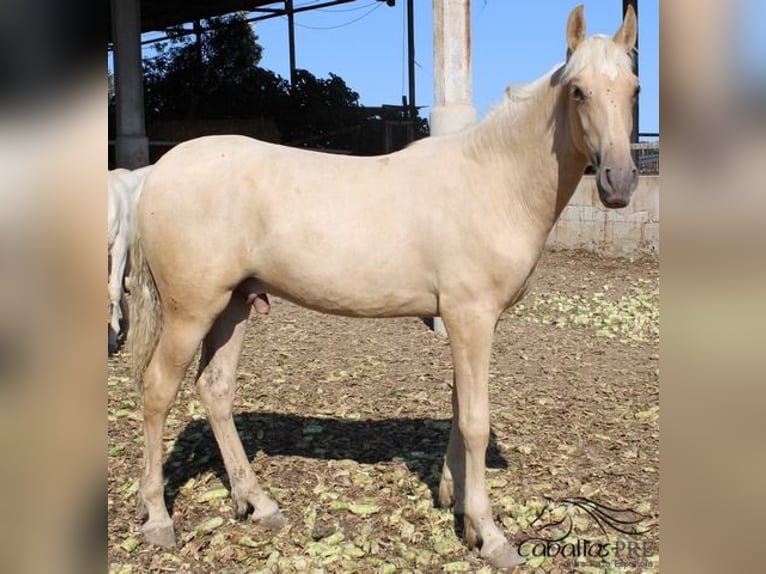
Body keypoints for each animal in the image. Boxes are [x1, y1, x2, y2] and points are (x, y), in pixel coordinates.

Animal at [129, 5, 640, 572]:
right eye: (578, 91)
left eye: (635, 88)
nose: (619, 182)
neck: (491, 180)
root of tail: (156, 171)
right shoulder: (472, 318)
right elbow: (475, 421)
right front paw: (489, 533)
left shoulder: (462, 322)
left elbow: (458, 411)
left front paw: (456, 505)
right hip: (191, 311)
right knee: (157, 390)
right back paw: (158, 518)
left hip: (233, 306)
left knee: (215, 390)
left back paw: (258, 503)